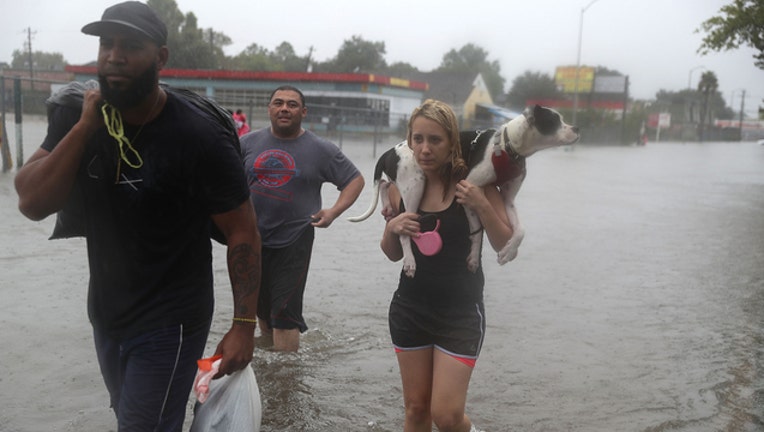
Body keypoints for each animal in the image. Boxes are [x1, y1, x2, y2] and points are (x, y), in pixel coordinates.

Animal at [350, 104, 580, 276]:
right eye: (554, 120)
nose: (577, 129)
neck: (508, 147)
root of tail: (389, 151)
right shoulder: (468, 189)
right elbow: (477, 231)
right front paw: (473, 259)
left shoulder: (508, 199)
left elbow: (520, 230)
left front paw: (507, 251)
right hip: (415, 185)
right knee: (405, 230)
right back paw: (409, 261)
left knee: (384, 185)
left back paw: (388, 207)